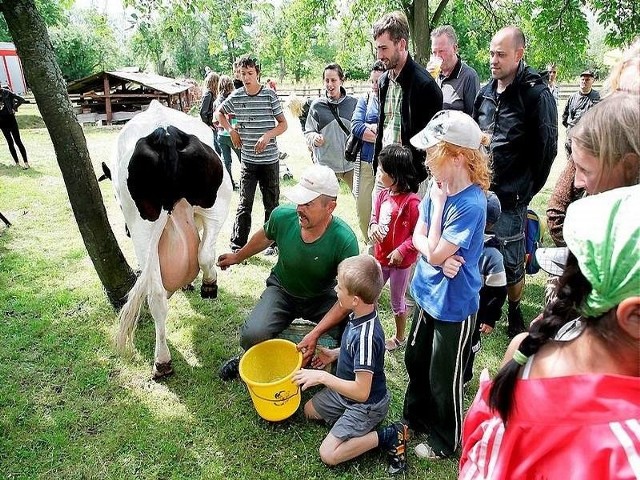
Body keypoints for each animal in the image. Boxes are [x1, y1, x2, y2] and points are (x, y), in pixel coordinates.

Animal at [112, 101, 232, 378]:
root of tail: (164, 133)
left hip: (144, 230)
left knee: (155, 294)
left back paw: (162, 361)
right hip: (217, 205)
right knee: (204, 255)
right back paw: (209, 285)